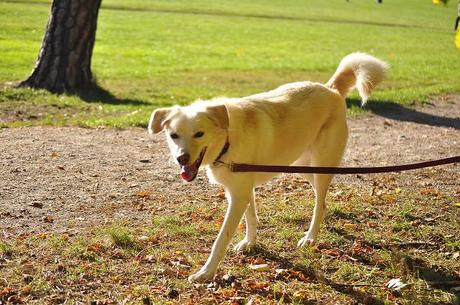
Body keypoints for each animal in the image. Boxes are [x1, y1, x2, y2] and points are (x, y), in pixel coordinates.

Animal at [148, 52, 388, 282]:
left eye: (199, 133)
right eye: (174, 135)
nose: (182, 158)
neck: (228, 139)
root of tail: (330, 89)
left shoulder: (239, 197)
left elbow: (221, 239)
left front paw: (206, 272)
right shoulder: (241, 192)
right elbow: (251, 218)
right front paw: (250, 243)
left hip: (321, 167)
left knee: (319, 202)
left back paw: (310, 237)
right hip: (301, 167)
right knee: (323, 203)